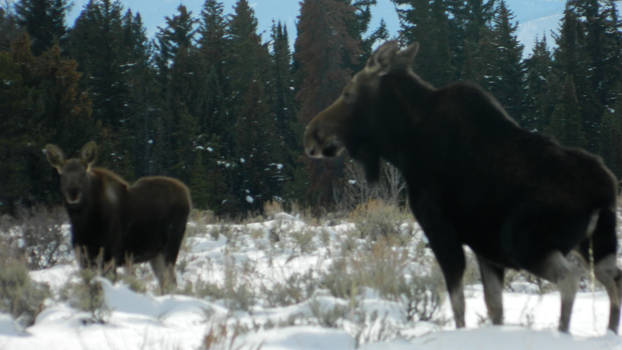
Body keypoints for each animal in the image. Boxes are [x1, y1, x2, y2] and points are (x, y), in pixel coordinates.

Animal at [45, 141, 191, 292]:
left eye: (83, 173)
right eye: (62, 174)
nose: (73, 192)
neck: (84, 223)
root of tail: (187, 195)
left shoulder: (110, 256)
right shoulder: (83, 258)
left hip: (170, 247)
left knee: (171, 282)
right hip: (155, 253)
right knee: (165, 282)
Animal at [306, 41, 622, 334]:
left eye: (348, 93)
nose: (312, 134)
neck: (402, 145)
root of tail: (602, 190)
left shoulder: (440, 228)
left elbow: (458, 303)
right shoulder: (486, 247)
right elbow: (494, 307)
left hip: (526, 241)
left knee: (570, 278)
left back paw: (563, 332)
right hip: (596, 241)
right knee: (612, 277)